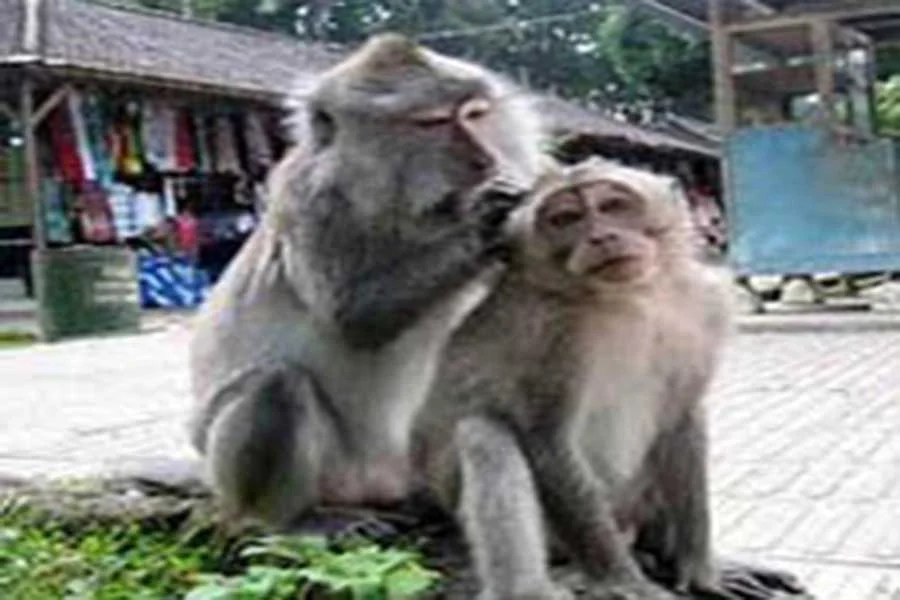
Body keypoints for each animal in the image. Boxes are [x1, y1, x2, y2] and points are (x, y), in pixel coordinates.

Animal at [187, 33, 547, 530]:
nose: (485, 159)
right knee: (276, 386)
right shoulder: (309, 202)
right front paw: (484, 220)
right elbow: (354, 320)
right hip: (288, 470)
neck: (403, 212)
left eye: (475, 114)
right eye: (431, 123)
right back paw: (297, 520)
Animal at [412, 159, 807, 600]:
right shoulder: (548, 336)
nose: (602, 236)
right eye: (566, 218)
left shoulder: (704, 304)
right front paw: (623, 582)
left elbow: (682, 418)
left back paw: (664, 552)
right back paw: (531, 588)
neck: (631, 297)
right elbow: (547, 440)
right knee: (484, 435)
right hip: (554, 535)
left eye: (613, 205)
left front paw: (703, 570)